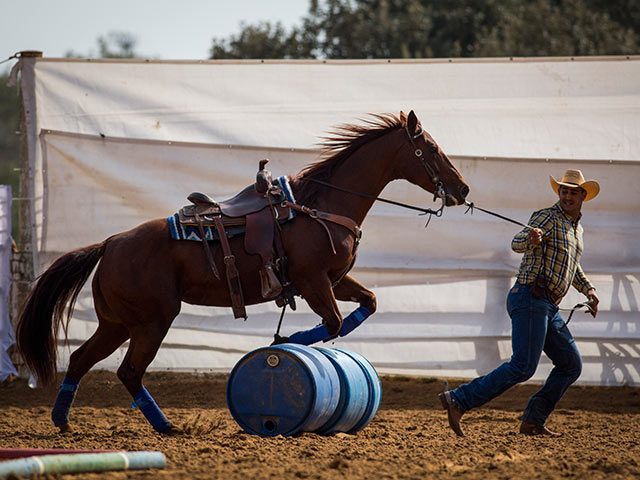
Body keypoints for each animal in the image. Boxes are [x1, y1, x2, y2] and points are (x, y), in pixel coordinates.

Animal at [15, 110, 464, 434]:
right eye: (431, 148)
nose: (462, 189)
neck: (320, 206)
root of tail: (110, 243)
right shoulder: (313, 281)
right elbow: (334, 322)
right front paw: (289, 342)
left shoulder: (334, 281)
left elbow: (366, 304)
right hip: (151, 321)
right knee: (129, 371)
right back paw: (166, 425)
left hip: (117, 323)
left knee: (80, 360)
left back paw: (63, 421)